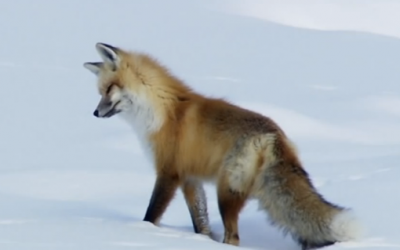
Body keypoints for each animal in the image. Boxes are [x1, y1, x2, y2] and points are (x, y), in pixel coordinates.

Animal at [84, 43, 362, 250]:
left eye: (108, 89)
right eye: (100, 91)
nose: (95, 113)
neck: (163, 111)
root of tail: (275, 134)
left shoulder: (168, 172)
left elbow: (152, 215)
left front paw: (144, 233)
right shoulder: (190, 178)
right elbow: (201, 223)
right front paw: (202, 241)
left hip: (226, 192)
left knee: (234, 238)